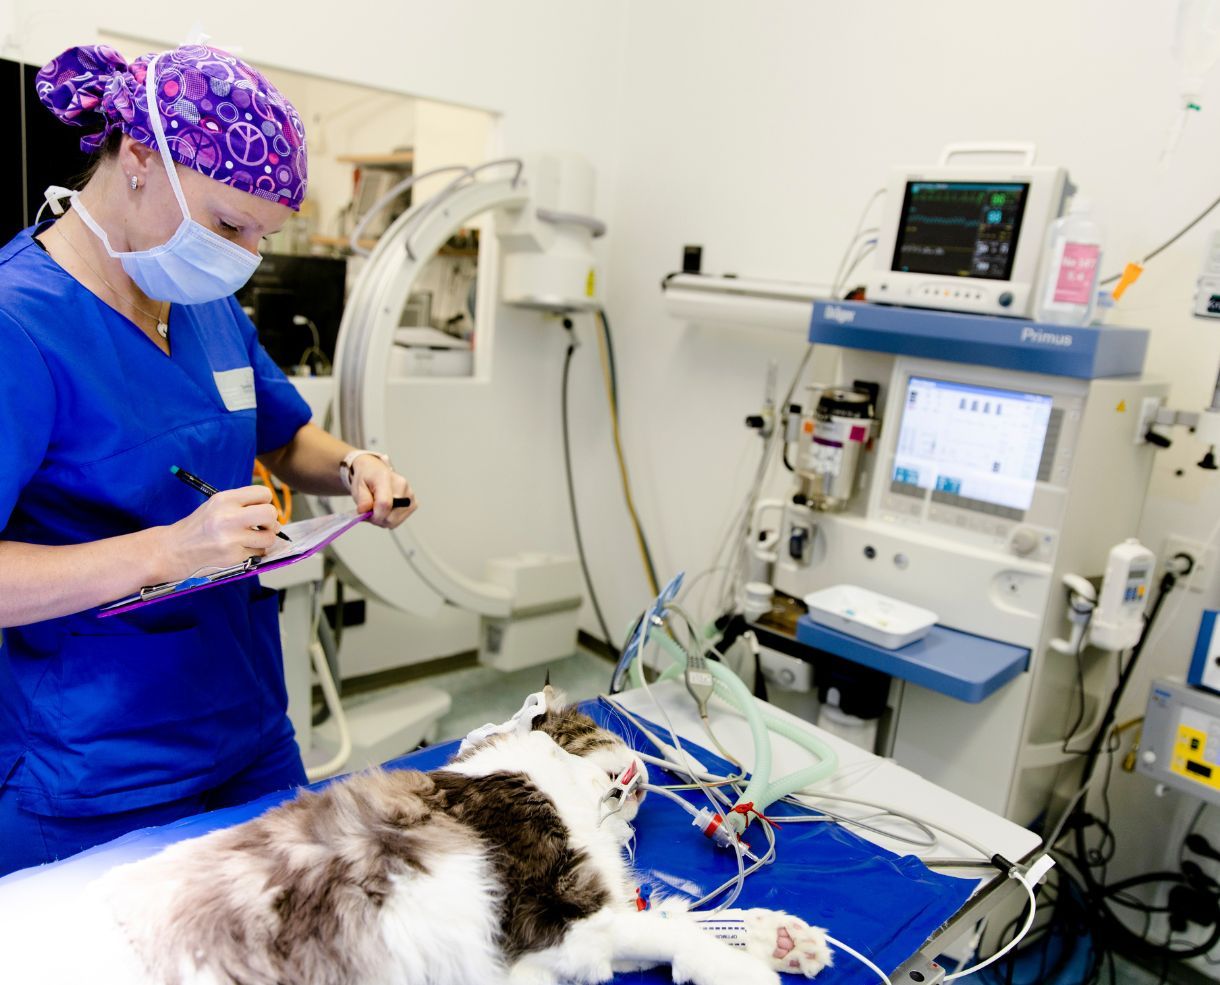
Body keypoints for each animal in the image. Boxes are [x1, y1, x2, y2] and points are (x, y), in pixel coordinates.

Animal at [7, 688, 829, 981]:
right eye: (592, 728)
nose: (638, 781)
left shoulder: (560, 946)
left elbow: (678, 923)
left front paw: (784, 938)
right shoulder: (553, 915)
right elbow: (675, 932)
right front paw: (748, 970)